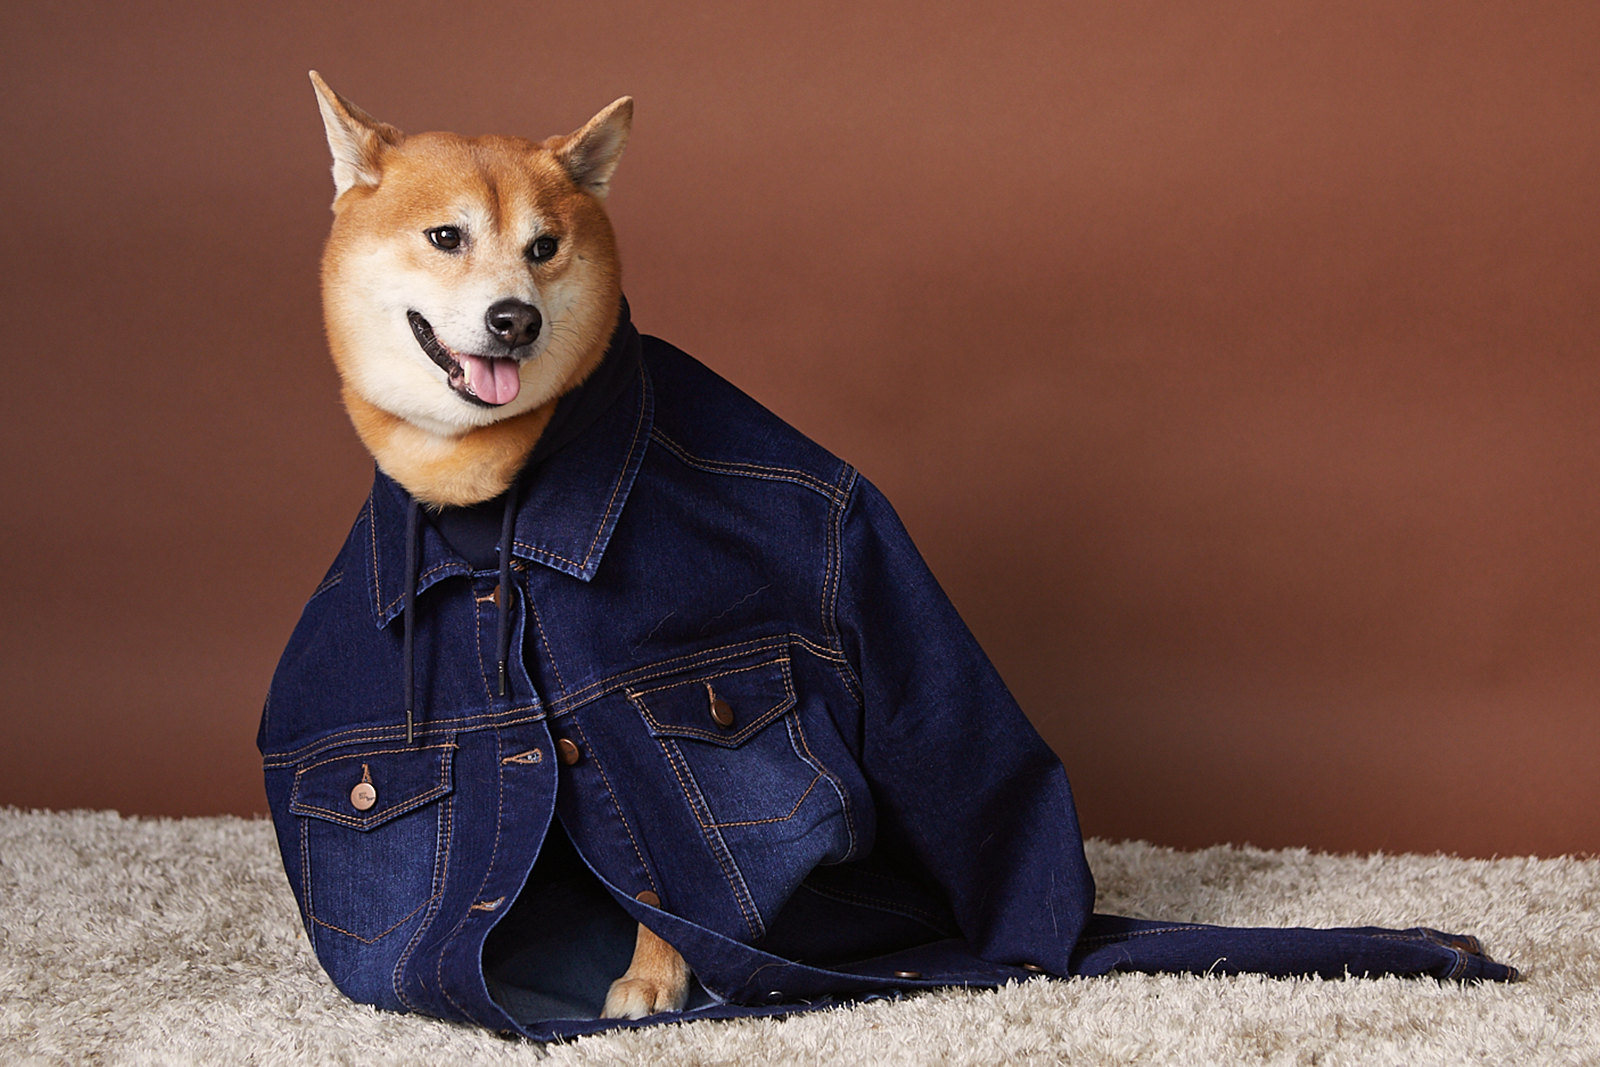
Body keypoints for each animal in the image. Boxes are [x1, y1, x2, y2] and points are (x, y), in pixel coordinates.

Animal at [308, 70, 691, 1023]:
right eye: (447, 237)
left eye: (544, 246)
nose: (514, 319)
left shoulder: (649, 673)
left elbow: (667, 848)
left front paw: (658, 973)